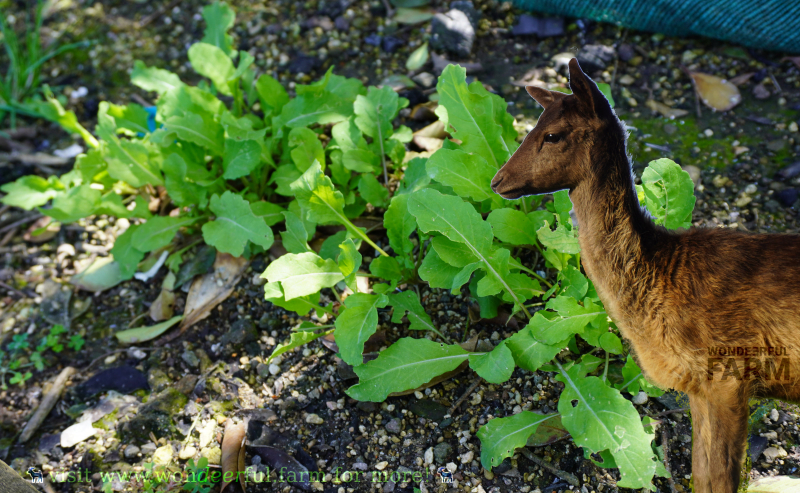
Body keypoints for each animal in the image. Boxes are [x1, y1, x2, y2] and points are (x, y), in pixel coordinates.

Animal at [490, 58, 800, 492]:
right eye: (532, 125)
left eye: (552, 135)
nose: (497, 180)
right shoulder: (701, 386)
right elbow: (701, 474)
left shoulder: (728, 374)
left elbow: (717, 479)